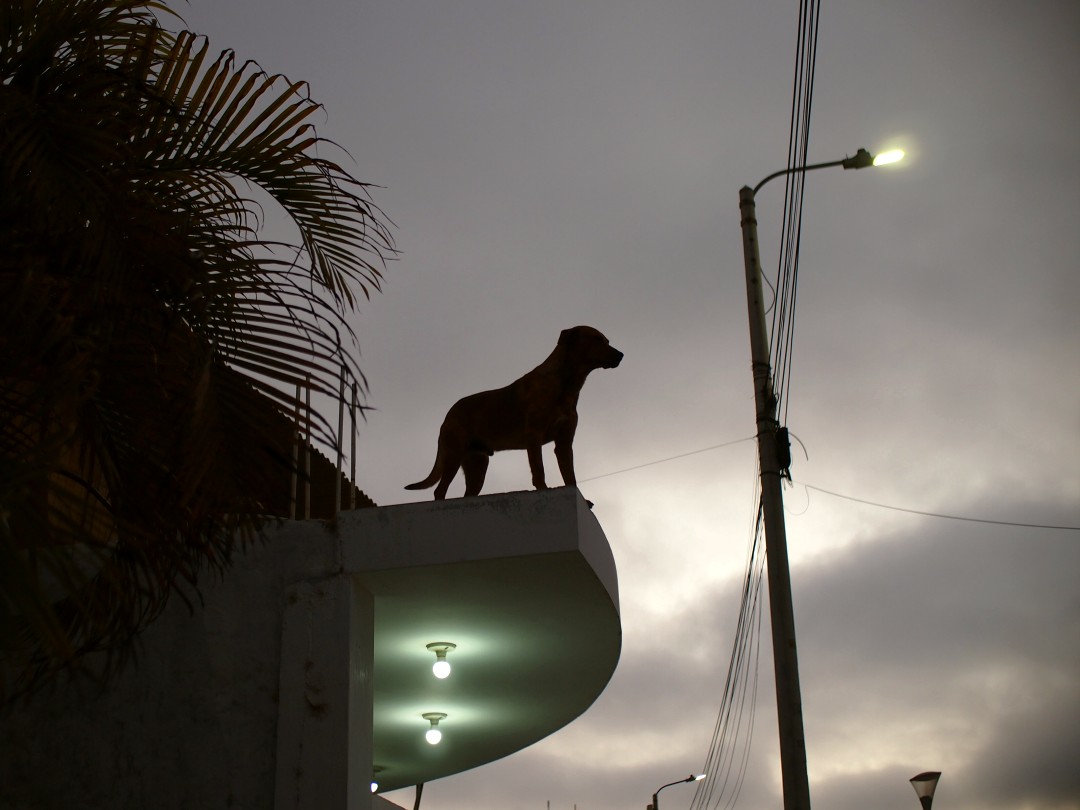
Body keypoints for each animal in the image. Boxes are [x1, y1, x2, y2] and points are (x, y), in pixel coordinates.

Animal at [406, 326, 626, 498]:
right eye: (596, 339)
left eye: (607, 340)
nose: (621, 355)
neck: (566, 385)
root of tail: (449, 413)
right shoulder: (534, 435)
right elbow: (539, 469)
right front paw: (544, 489)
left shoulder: (564, 442)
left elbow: (569, 475)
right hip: (454, 453)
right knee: (439, 490)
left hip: (478, 464)